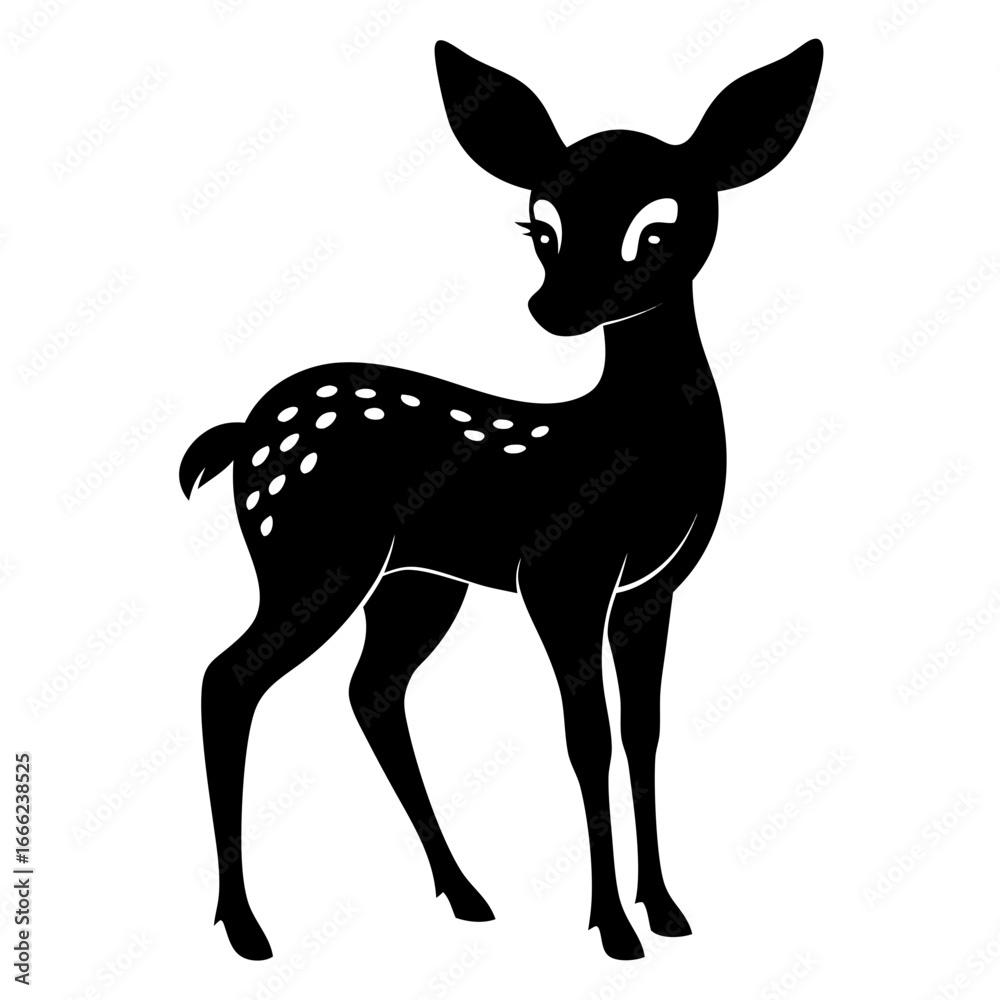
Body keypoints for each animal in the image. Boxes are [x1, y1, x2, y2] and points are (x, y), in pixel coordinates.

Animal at [180, 38, 823, 962]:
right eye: (539, 227)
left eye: (658, 226)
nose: (555, 308)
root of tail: (242, 434)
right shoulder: (561, 573)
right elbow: (587, 739)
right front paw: (613, 928)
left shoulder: (652, 589)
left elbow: (644, 733)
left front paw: (666, 910)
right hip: (311, 553)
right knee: (227, 679)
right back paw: (245, 928)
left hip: (416, 582)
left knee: (371, 692)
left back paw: (464, 892)